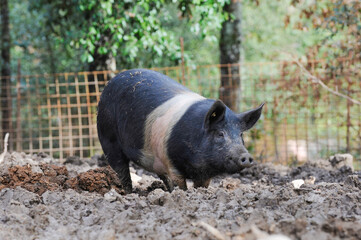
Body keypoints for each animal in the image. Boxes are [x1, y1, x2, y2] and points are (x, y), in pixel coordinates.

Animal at [97, 69, 262, 193]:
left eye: (241, 135)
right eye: (220, 134)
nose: (246, 156)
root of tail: (111, 81)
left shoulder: (204, 174)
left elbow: (201, 186)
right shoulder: (171, 163)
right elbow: (179, 184)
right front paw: (182, 195)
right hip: (107, 136)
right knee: (121, 169)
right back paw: (129, 194)